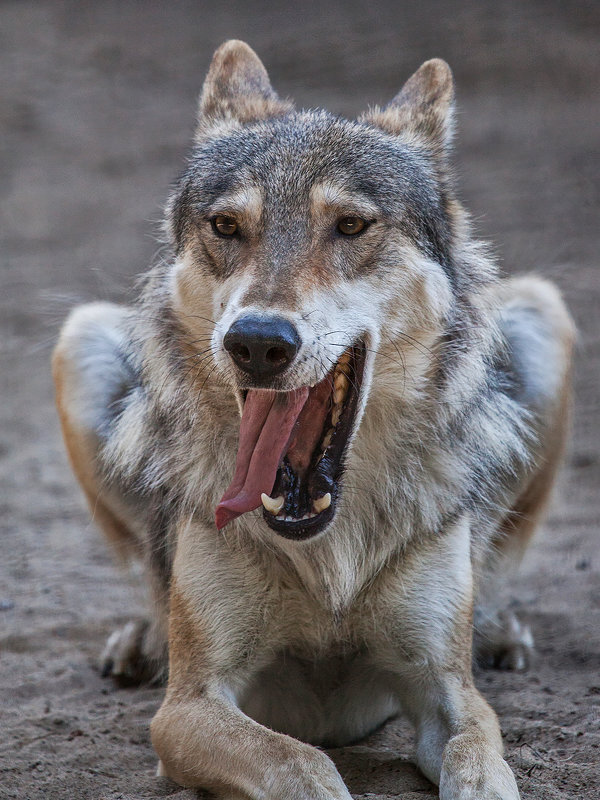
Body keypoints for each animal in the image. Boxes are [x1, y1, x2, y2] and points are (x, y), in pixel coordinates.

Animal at [54, 39, 576, 800]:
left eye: (350, 226)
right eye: (226, 227)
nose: (256, 342)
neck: (328, 553)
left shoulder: (448, 692)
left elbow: (480, 762)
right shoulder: (187, 708)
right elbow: (303, 762)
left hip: (543, 316)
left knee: (497, 557)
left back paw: (499, 628)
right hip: (80, 339)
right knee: (148, 571)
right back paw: (143, 641)